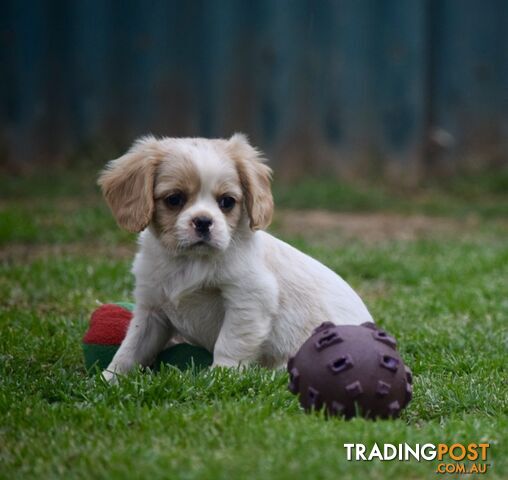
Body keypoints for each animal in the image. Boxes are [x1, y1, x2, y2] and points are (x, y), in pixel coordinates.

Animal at [98, 133, 374, 380]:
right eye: (174, 199)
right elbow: (131, 347)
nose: (203, 221)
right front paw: (109, 379)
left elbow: (230, 342)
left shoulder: (248, 299)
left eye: (227, 202)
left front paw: (219, 375)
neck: (190, 261)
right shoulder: (151, 308)